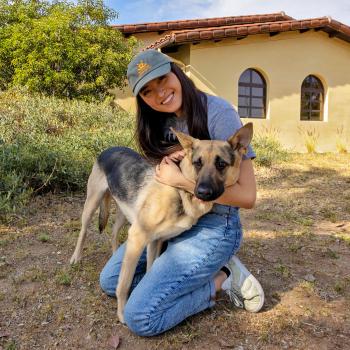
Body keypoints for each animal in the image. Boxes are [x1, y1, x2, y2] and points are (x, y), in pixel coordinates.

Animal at [69, 122, 253, 322]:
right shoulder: (138, 238)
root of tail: (109, 149)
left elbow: (149, 271)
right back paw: (76, 258)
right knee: (83, 231)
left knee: (114, 232)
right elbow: (124, 284)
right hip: (93, 203)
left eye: (221, 164)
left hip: (125, 214)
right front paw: (122, 314)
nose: (203, 192)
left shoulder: (154, 241)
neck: (180, 193)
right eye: (197, 163)